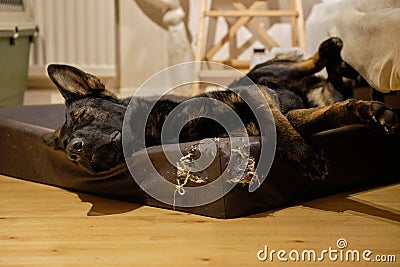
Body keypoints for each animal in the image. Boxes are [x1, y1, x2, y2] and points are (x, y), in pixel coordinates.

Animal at [42, 37, 398, 180]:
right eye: (67, 151)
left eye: (84, 116)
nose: (74, 151)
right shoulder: (289, 114)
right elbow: (325, 115)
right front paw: (369, 111)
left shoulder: (258, 95)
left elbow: (276, 128)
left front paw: (308, 159)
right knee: (337, 86)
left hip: (265, 72)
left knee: (305, 64)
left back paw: (329, 49)